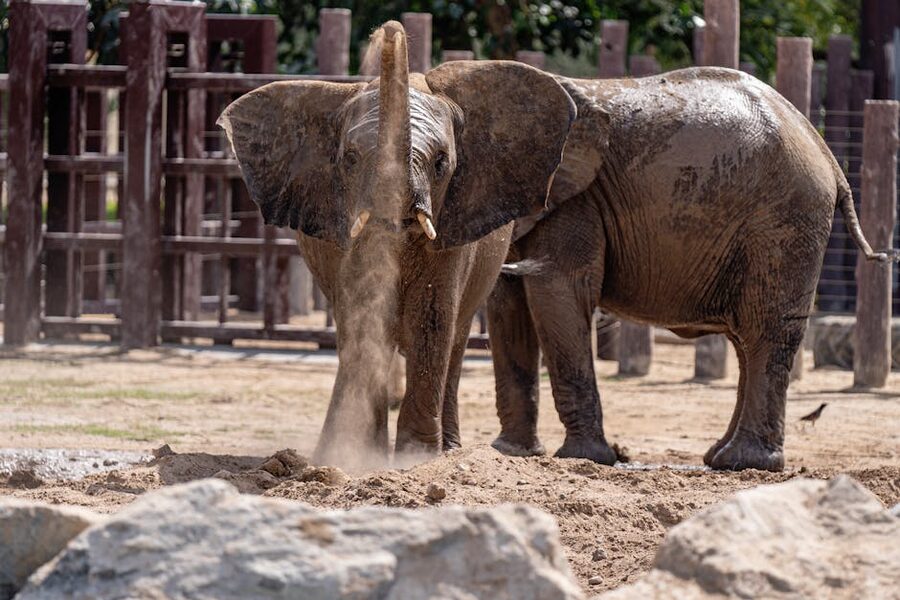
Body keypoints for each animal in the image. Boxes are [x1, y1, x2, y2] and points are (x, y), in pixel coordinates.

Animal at [218, 22, 575, 468]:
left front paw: (414, 459)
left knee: (454, 341)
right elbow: (361, 314)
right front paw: (356, 456)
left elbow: (430, 319)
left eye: (441, 162)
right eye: (350, 159)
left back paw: (447, 449)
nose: (390, 31)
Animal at [487, 67, 898, 472]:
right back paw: (721, 458)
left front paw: (582, 458)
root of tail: (825, 151)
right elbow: (507, 303)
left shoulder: (577, 202)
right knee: (746, 340)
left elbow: (557, 290)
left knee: (767, 330)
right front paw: (511, 453)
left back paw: (745, 462)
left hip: (784, 219)